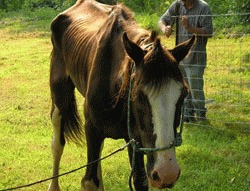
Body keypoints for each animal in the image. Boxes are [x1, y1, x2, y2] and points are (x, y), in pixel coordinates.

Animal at [47, 0, 195, 191]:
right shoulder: (92, 128)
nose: (166, 172)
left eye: (183, 94)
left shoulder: (135, 138)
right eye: (139, 96)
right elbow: (89, 181)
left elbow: (140, 180)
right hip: (60, 95)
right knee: (57, 143)